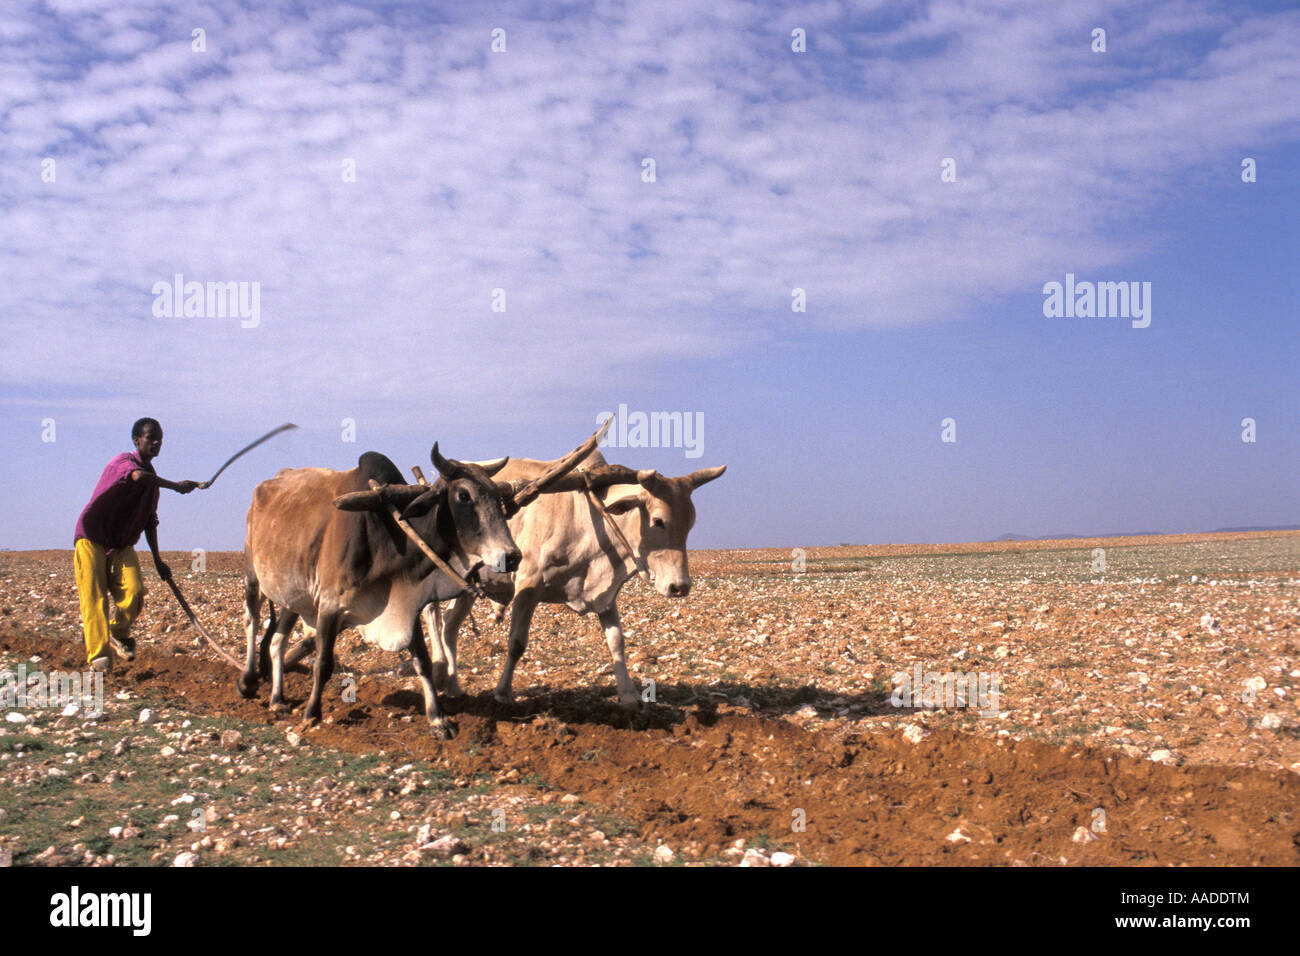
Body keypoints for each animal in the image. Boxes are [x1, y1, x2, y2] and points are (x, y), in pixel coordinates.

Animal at [239, 425, 605, 737]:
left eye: (497, 497)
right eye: (463, 496)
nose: (512, 556)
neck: (389, 540)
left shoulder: (407, 606)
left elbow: (424, 663)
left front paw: (438, 719)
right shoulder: (330, 604)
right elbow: (324, 664)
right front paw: (312, 714)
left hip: (294, 596)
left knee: (276, 642)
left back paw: (277, 699)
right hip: (254, 577)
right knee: (253, 621)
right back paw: (247, 681)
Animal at [423, 449, 726, 709]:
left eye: (690, 523)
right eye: (658, 521)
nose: (680, 586)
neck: (588, 519)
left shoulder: (606, 595)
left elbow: (617, 642)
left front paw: (628, 695)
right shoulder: (528, 585)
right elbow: (517, 642)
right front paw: (503, 692)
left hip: (467, 588)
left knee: (450, 625)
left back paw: (452, 685)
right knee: (432, 613)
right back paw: (438, 670)